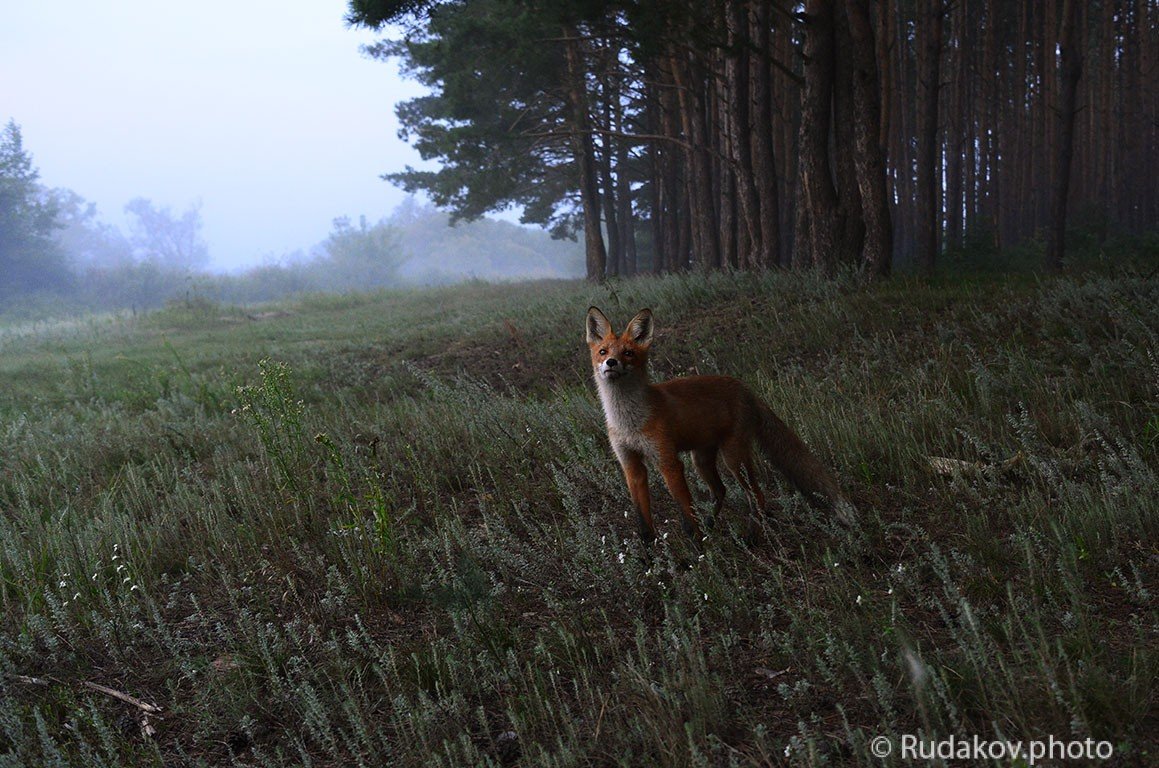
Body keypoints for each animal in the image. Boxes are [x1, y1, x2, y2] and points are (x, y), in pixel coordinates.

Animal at [584, 305, 857, 539]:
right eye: (603, 351)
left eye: (628, 353)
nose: (611, 363)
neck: (629, 421)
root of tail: (744, 388)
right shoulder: (631, 466)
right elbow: (644, 525)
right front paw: (650, 559)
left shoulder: (669, 463)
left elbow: (687, 518)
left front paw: (698, 556)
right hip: (701, 460)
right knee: (722, 490)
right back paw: (713, 525)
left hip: (733, 458)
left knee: (757, 496)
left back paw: (751, 538)